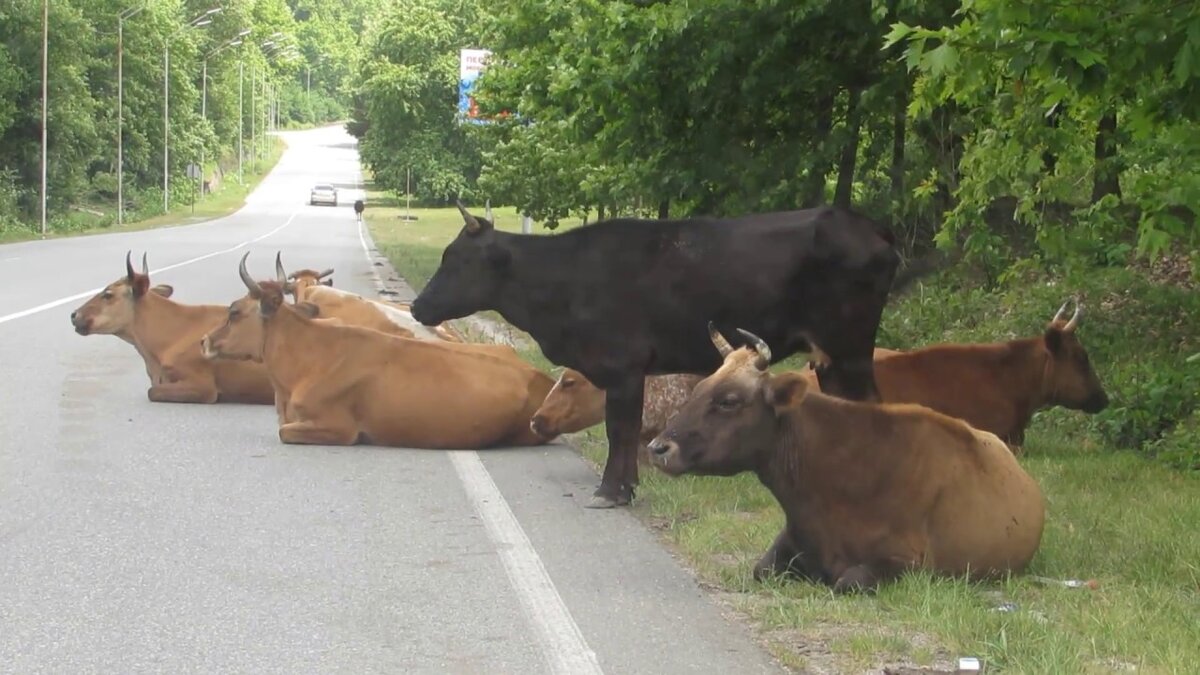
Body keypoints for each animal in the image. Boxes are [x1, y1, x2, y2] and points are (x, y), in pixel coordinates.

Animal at [412, 199, 916, 504]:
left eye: (456, 260)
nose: (417, 306)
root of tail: (867, 226)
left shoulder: (623, 367)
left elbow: (620, 429)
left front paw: (612, 490)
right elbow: (627, 430)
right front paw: (627, 485)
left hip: (850, 349)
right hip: (832, 357)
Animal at [643, 326, 1046, 593]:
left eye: (729, 400)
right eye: (697, 387)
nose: (658, 448)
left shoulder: (908, 563)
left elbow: (847, 581)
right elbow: (762, 569)